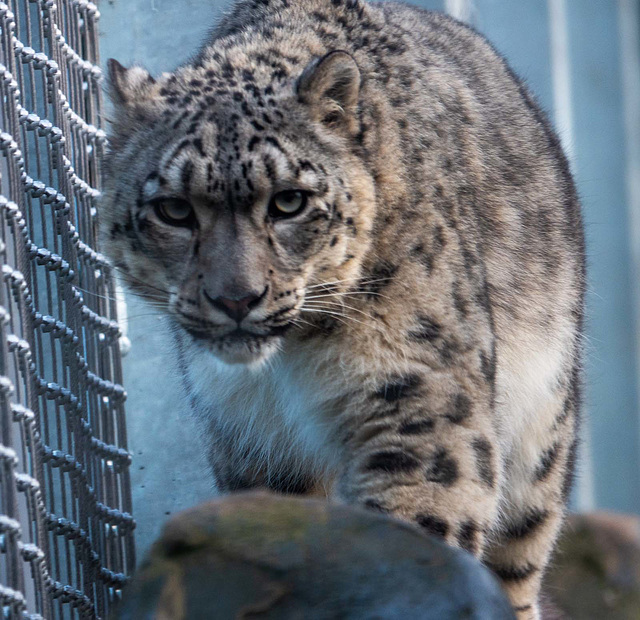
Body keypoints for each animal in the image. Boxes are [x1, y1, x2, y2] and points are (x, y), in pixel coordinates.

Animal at [100, 1, 584, 616]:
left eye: (289, 201)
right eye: (174, 209)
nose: (236, 298)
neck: (288, 367)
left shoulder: (417, 391)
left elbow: (417, 523)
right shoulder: (252, 441)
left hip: (541, 430)